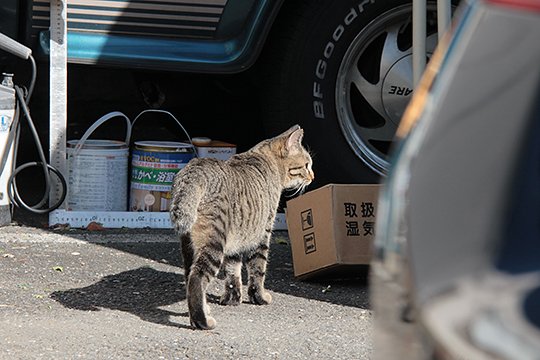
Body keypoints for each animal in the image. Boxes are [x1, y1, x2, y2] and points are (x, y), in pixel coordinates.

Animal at [169, 125, 312, 330]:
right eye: (307, 165)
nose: (313, 176)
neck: (264, 157)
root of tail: (194, 171)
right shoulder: (262, 234)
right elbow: (257, 270)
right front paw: (259, 297)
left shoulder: (236, 239)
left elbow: (232, 272)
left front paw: (232, 299)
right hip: (214, 242)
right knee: (197, 277)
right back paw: (202, 321)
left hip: (189, 245)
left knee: (189, 277)